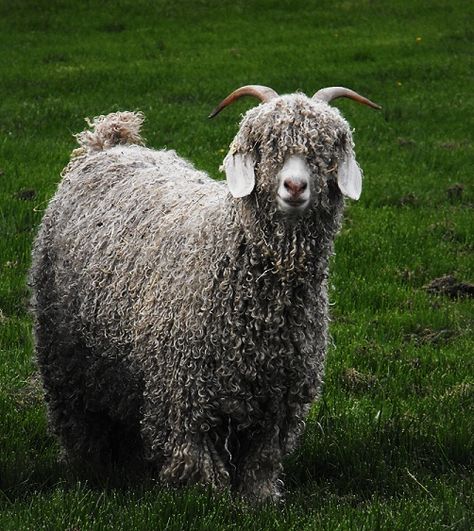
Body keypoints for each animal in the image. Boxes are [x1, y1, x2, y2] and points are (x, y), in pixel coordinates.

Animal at [31, 84, 380, 502]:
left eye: (326, 149)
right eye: (264, 145)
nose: (295, 186)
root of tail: (105, 145)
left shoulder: (277, 400)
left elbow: (262, 459)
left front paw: (259, 499)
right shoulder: (183, 391)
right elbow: (195, 458)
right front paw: (205, 498)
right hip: (65, 355)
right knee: (76, 416)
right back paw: (89, 467)